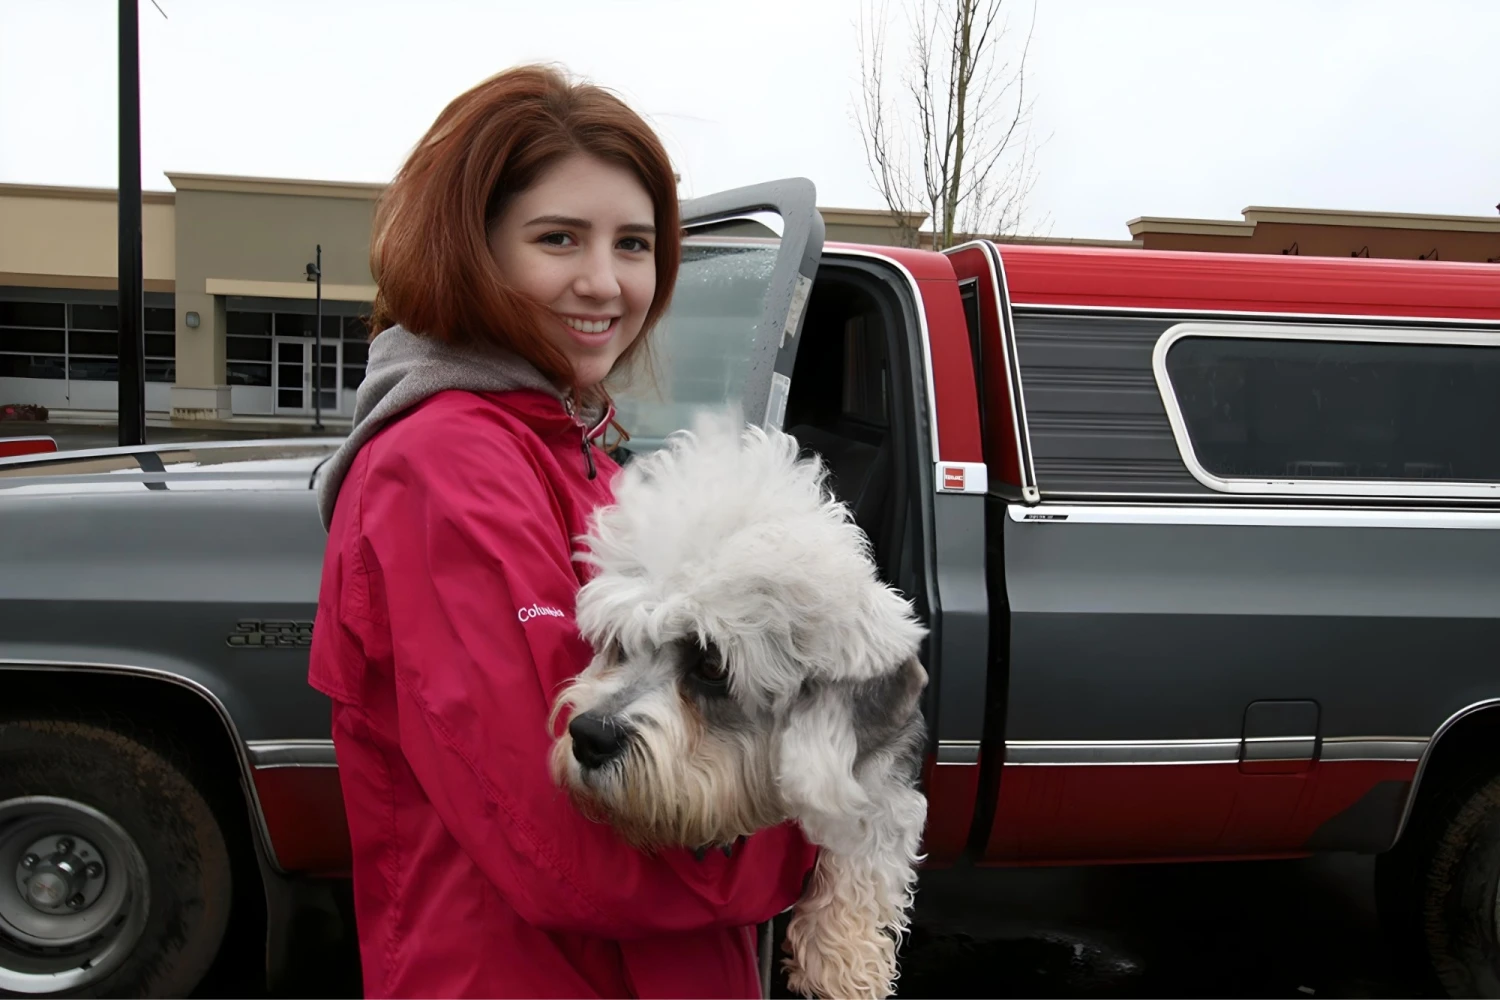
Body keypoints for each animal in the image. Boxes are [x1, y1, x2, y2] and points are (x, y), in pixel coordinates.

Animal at [552, 410, 924, 995]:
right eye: (620, 642)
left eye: (710, 664)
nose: (590, 737)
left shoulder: (888, 770)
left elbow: (865, 847)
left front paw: (840, 963)